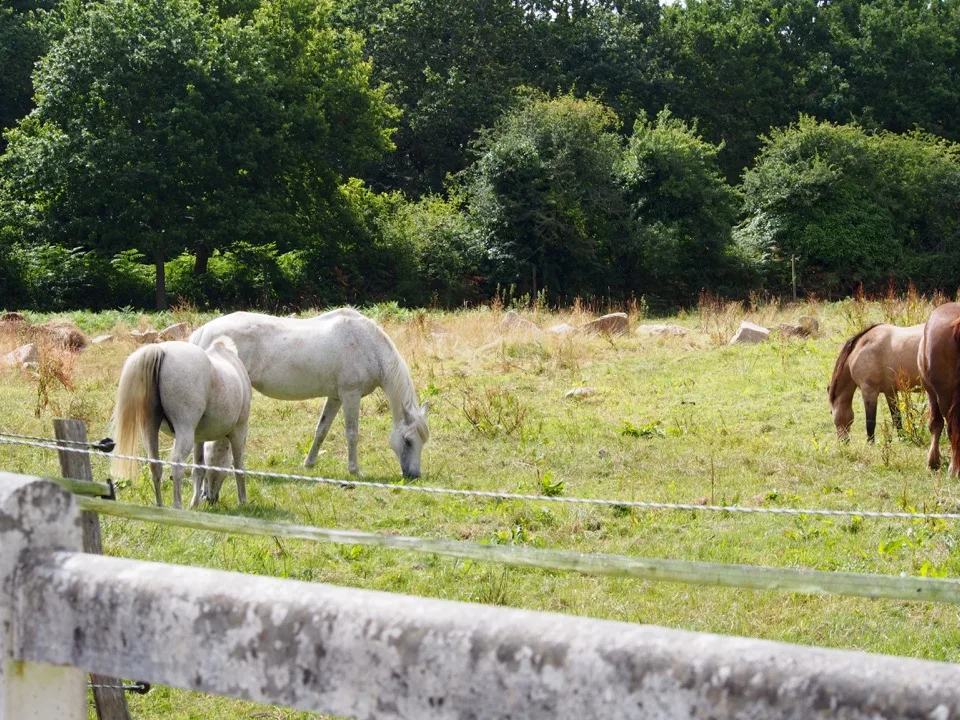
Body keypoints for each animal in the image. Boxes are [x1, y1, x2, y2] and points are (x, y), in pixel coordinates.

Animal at [111, 337, 252, 509]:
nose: (210, 499)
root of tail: (160, 351)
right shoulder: (239, 431)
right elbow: (238, 467)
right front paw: (243, 501)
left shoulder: (199, 438)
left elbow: (199, 469)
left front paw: (194, 503)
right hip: (184, 431)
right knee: (177, 464)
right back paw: (177, 506)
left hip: (150, 428)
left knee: (155, 465)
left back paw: (160, 506)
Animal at [189, 308, 430, 478]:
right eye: (408, 441)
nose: (414, 476)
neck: (366, 344)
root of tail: (203, 332)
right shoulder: (350, 395)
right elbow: (352, 433)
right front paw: (355, 470)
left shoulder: (335, 398)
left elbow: (321, 430)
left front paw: (309, 463)